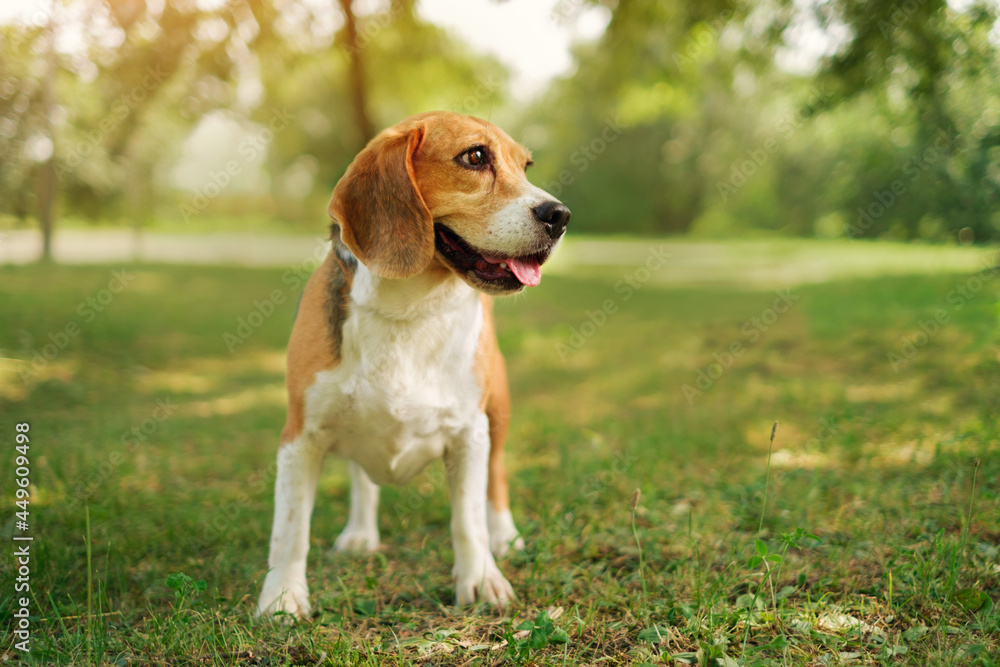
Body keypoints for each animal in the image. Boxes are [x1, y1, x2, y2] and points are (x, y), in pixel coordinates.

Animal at [258, 112, 572, 620]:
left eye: (526, 166)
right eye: (475, 156)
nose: (560, 216)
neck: (409, 309)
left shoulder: (469, 433)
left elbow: (468, 518)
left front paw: (480, 580)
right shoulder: (299, 437)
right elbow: (289, 529)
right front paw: (282, 598)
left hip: (498, 414)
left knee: (496, 479)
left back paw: (504, 536)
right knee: (362, 479)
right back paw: (361, 532)